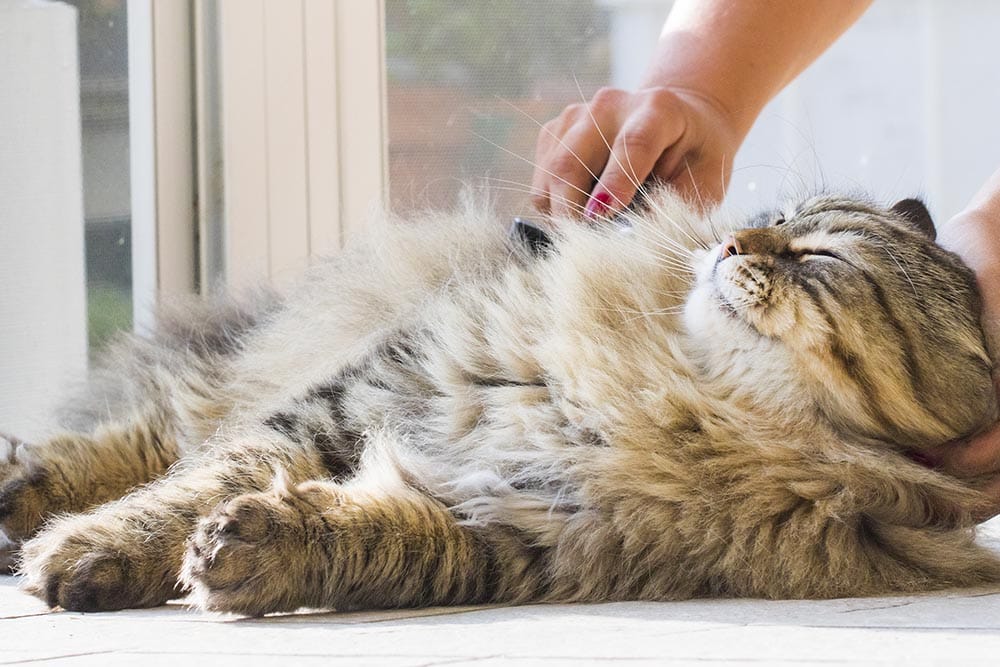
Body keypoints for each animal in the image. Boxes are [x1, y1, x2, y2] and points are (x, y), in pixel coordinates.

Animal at [1, 189, 1000, 616]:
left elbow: (383, 541)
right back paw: (22, 496)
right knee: (153, 432)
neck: (668, 396)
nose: (728, 242)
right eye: (781, 214)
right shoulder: (363, 395)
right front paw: (89, 553)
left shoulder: (537, 530)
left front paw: (254, 553)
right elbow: (187, 489)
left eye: (821, 259)